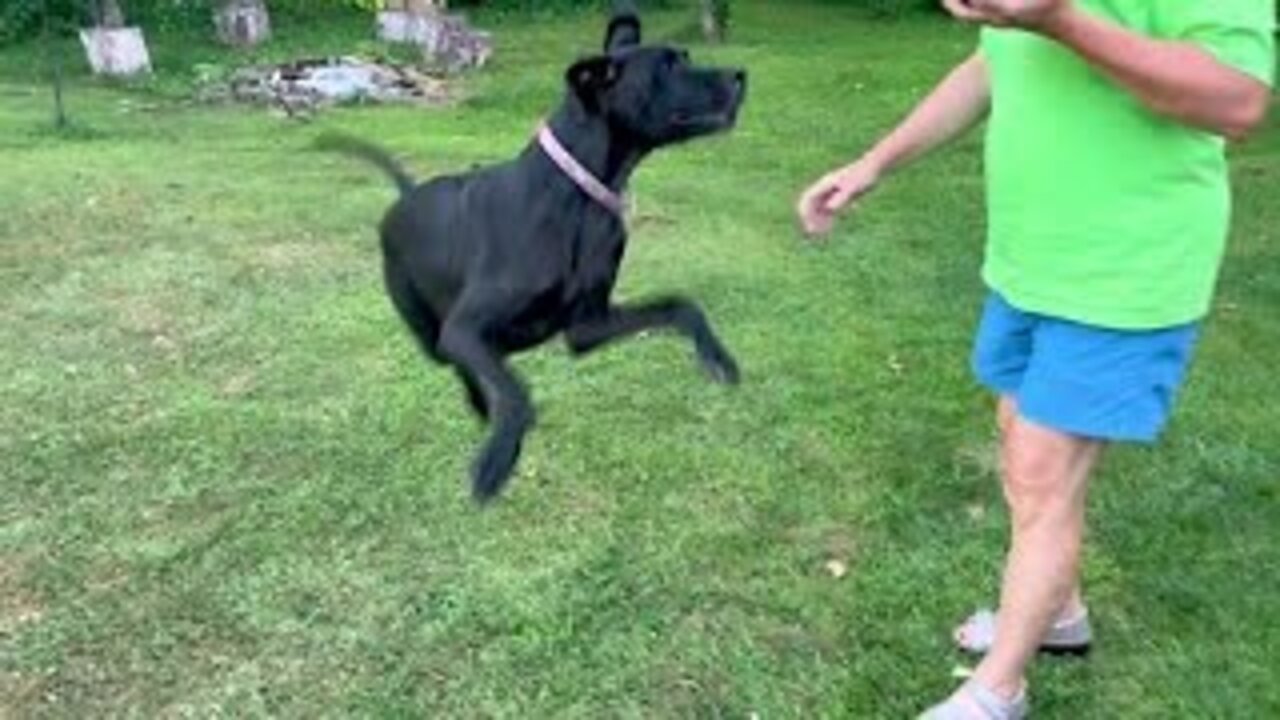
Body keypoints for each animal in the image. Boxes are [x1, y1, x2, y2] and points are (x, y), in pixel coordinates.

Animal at [322, 2, 747, 502]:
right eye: (667, 67)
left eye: (684, 57)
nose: (741, 75)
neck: (575, 196)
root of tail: (405, 196)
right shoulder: (466, 328)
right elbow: (517, 394)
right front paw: (496, 460)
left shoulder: (587, 327)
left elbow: (681, 306)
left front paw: (718, 358)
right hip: (431, 331)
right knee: (460, 365)